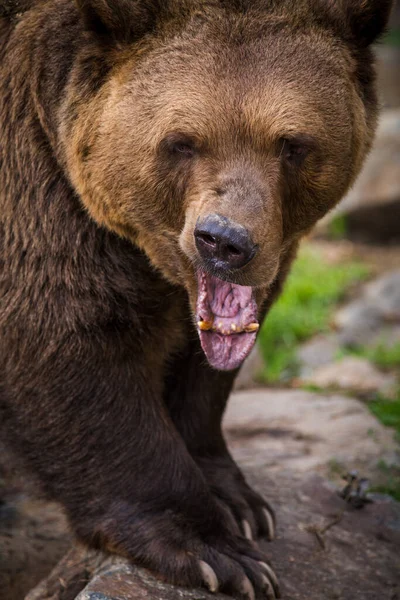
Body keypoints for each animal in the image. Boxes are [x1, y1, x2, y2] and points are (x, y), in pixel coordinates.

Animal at [0, 0, 394, 596]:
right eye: (182, 141)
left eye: (293, 144)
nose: (224, 242)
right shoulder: (38, 193)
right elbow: (68, 342)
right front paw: (218, 553)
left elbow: (203, 368)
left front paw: (241, 503)